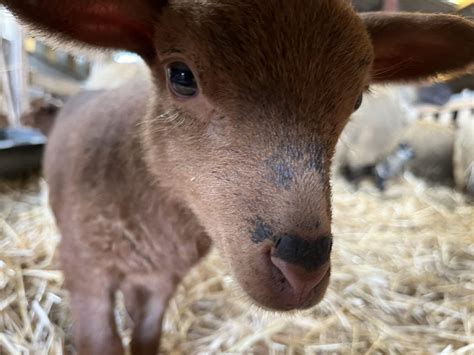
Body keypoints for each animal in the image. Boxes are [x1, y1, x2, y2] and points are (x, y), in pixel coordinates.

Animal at [1, 0, 472, 355]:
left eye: (356, 99)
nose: (302, 269)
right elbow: (103, 342)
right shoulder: (85, 271)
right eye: (181, 75)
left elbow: (147, 336)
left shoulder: (161, 280)